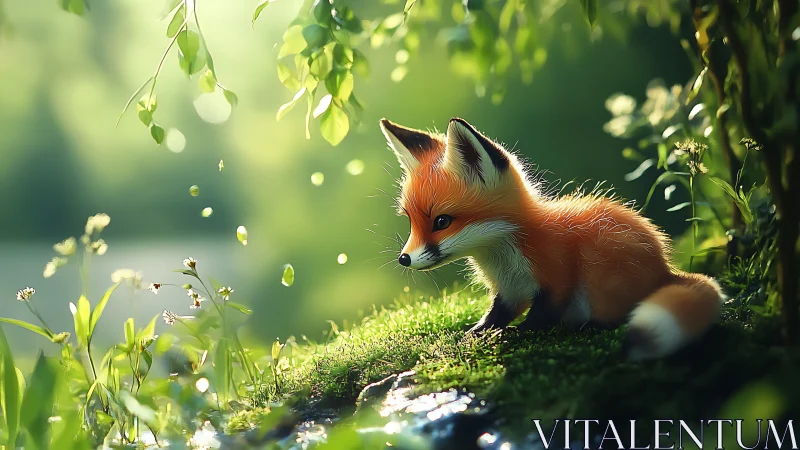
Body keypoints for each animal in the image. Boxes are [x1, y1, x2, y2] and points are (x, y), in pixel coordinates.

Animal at [379, 117, 725, 360]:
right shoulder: (509, 289)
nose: (404, 259)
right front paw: (474, 334)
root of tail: (666, 270)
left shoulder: (557, 276)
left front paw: (516, 335)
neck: (505, 253)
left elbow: (541, 315)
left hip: (601, 271)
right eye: (411, 221)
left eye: (441, 221)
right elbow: (495, 316)